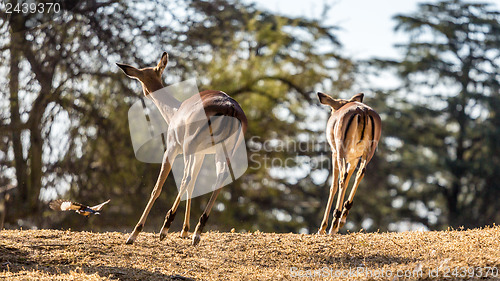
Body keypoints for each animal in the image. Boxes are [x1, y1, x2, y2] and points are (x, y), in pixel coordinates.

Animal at [119, 53, 248, 245]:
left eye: (141, 76)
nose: (146, 93)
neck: (175, 111)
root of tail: (230, 107)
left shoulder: (171, 150)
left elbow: (158, 188)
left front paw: (134, 234)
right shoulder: (200, 154)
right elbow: (193, 185)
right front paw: (185, 231)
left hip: (188, 148)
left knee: (185, 179)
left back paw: (165, 228)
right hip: (221, 153)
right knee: (219, 178)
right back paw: (197, 232)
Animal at [316, 92, 382, 234]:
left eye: (331, 109)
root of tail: (362, 111)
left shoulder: (335, 154)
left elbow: (333, 186)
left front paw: (322, 228)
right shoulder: (354, 159)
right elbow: (348, 181)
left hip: (341, 154)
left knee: (342, 179)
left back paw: (334, 224)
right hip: (367, 154)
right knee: (360, 173)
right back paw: (342, 217)